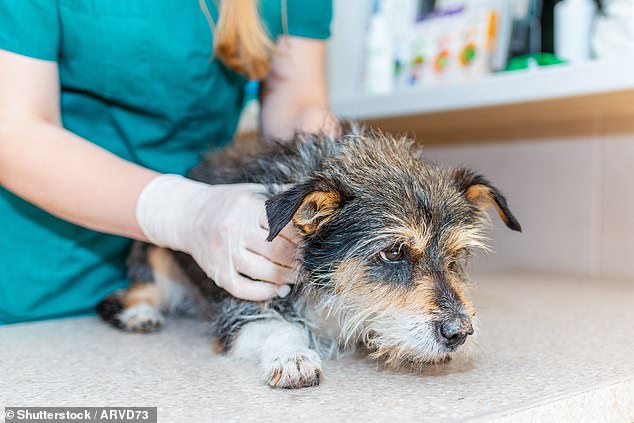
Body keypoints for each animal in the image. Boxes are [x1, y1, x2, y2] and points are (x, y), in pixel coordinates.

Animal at [95, 130, 520, 390]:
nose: (459, 332)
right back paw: (140, 314)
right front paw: (294, 355)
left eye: (457, 256)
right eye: (393, 252)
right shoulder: (239, 308)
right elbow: (279, 325)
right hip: (157, 263)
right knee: (122, 297)